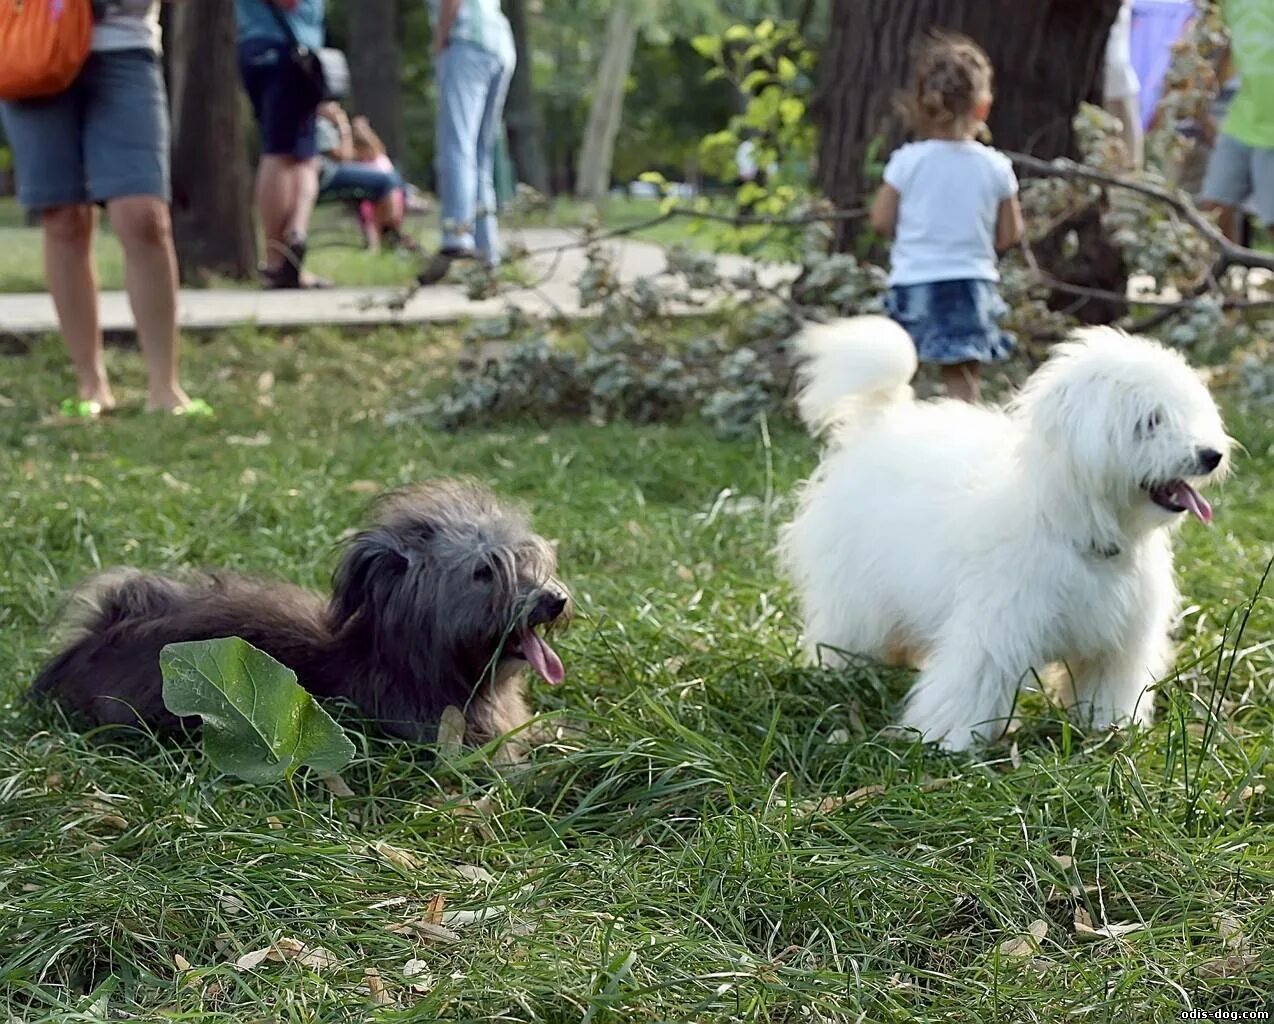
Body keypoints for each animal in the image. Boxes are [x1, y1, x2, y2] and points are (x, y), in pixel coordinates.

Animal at [779, 318, 1228, 753]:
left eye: (1189, 415)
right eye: (1150, 421)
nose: (1212, 455)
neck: (1072, 524)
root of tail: (880, 420)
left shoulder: (1118, 644)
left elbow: (1105, 686)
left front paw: (1108, 727)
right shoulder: (995, 628)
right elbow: (971, 682)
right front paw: (945, 740)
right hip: (857, 591)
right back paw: (841, 670)